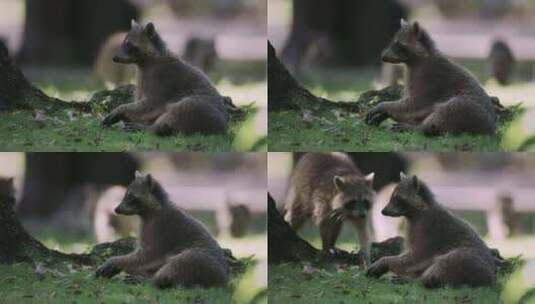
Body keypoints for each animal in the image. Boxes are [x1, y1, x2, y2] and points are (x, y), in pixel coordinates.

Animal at [96, 171, 228, 288]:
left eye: (131, 196)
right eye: (125, 195)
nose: (116, 209)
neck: (149, 212)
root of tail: (222, 281)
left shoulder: (160, 228)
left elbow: (146, 255)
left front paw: (117, 261)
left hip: (200, 261)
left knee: (179, 263)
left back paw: (152, 280)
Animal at [366, 19, 496, 136]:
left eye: (398, 44)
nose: (383, 57)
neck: (413, 62)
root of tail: (490, 129)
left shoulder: (430, 80)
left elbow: (413, 105)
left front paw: (383, 105)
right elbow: (411, 108)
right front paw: (385, 113)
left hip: (468, 110)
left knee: (446, 111)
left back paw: (419, 128)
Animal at [368, 173, 498, 288]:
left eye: (397, 198)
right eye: (392, 197)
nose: (383, 211)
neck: (415, 213)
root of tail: (490, 279)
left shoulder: (428, 232)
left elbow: (414, 259)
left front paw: (385, 261)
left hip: (468, 262)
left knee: (446, 262)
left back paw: (420, 280)